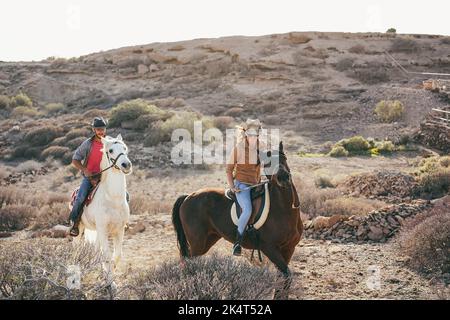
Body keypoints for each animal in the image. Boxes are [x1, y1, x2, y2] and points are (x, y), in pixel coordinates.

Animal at [74, 134, 132, 282]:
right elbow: (106, 255)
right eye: (110, 150)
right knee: (76, 247)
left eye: (125, 148)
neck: (113, 198)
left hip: (97, 231)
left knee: (96, 249)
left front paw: (110, 273)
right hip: (80, 228)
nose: (126, 165)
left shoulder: (119, 229)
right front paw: (110, 281)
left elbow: (116, 255)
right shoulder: (103, 229)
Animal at [171, 141, 302, 298]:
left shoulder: (288, 249)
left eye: (284, 158)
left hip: (207, 241)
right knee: (188, 263)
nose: (283, 177)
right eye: (267, 163)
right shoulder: (269, 248)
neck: (284, 208)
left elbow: (283, 279)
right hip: (198, 243)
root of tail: (188, 196)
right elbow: (286, 276)